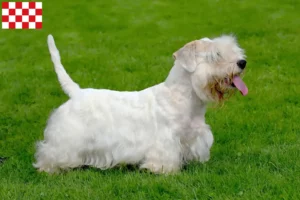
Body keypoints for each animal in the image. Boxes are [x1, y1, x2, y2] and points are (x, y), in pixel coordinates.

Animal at [33, 34, 248, 173]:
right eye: (216, 55)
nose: (242, 62)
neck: (184, 98)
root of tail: (76, 92)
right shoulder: (166, 140)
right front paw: (163, 170)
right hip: (66, 140)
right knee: (50, 152)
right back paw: (49, 168)